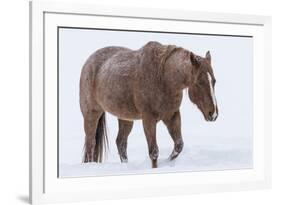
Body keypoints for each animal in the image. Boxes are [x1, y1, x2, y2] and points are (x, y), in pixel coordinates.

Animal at [80, 41, 218, 168]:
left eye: (214, 81)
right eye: (199, 82)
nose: (213, 114)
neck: (163, 77)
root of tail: (88, 62)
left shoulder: (172, 116)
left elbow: (178, 146)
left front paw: (167, 162)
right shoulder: (148, 119)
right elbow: (154, 151)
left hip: (125, 118)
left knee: (121, 143)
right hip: (91, 114)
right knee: (90, 144)